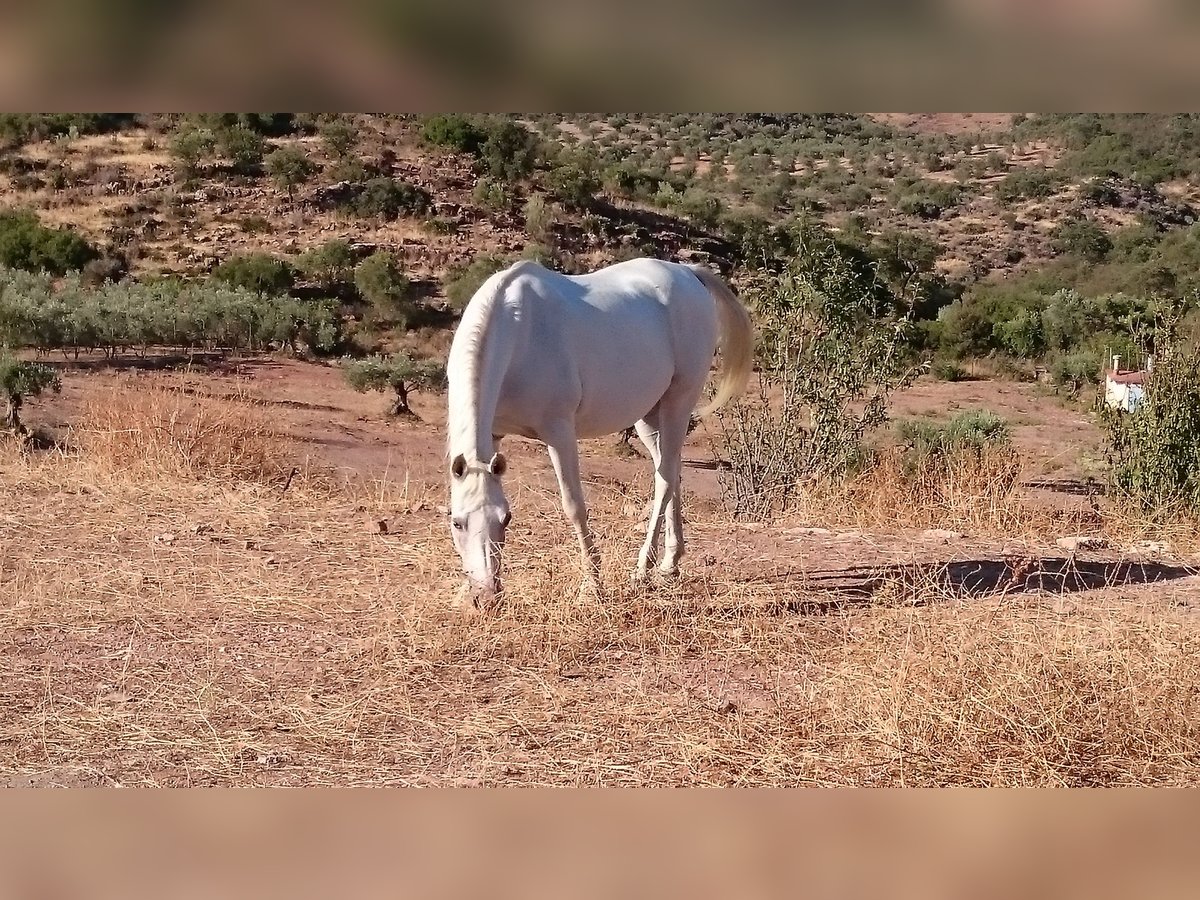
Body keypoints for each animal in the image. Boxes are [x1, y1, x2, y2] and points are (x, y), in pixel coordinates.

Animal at [446, 256, 753, 609]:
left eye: (506, 518)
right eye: (457, 522)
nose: (485, 597)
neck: (520, 332)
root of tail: (689, 273)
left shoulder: (559, 432)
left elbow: (574, 505)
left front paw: (592, 585)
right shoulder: (494, 434)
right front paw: (462, 592)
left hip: (680, 402)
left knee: (664, 480)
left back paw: (643, 569)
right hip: (649, 416)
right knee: (672, 471)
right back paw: (669, 565)